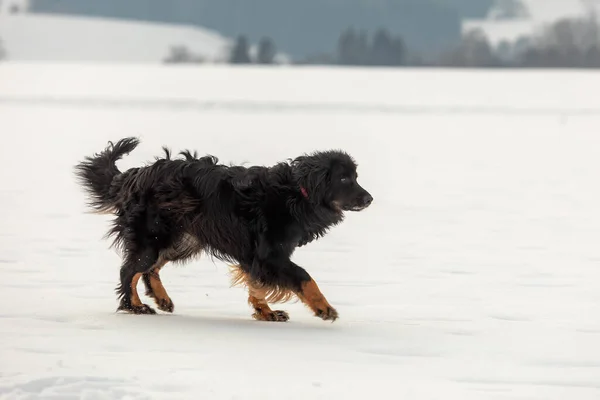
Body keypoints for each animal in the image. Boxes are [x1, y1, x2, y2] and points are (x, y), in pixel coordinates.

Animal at [75, 138, 372, 322]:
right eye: (344, 179)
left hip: (183, 238)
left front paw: (266, 312)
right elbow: (303, 276)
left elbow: (256, 284)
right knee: (130, 270)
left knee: (150, 268)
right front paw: (323, 307)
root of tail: (133, 175)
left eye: (355, 177)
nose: (369, 199)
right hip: (155, 236)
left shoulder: (255, 256)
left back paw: (161, 298)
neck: (297, 192)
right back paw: (134, 306)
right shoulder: (270, 254)